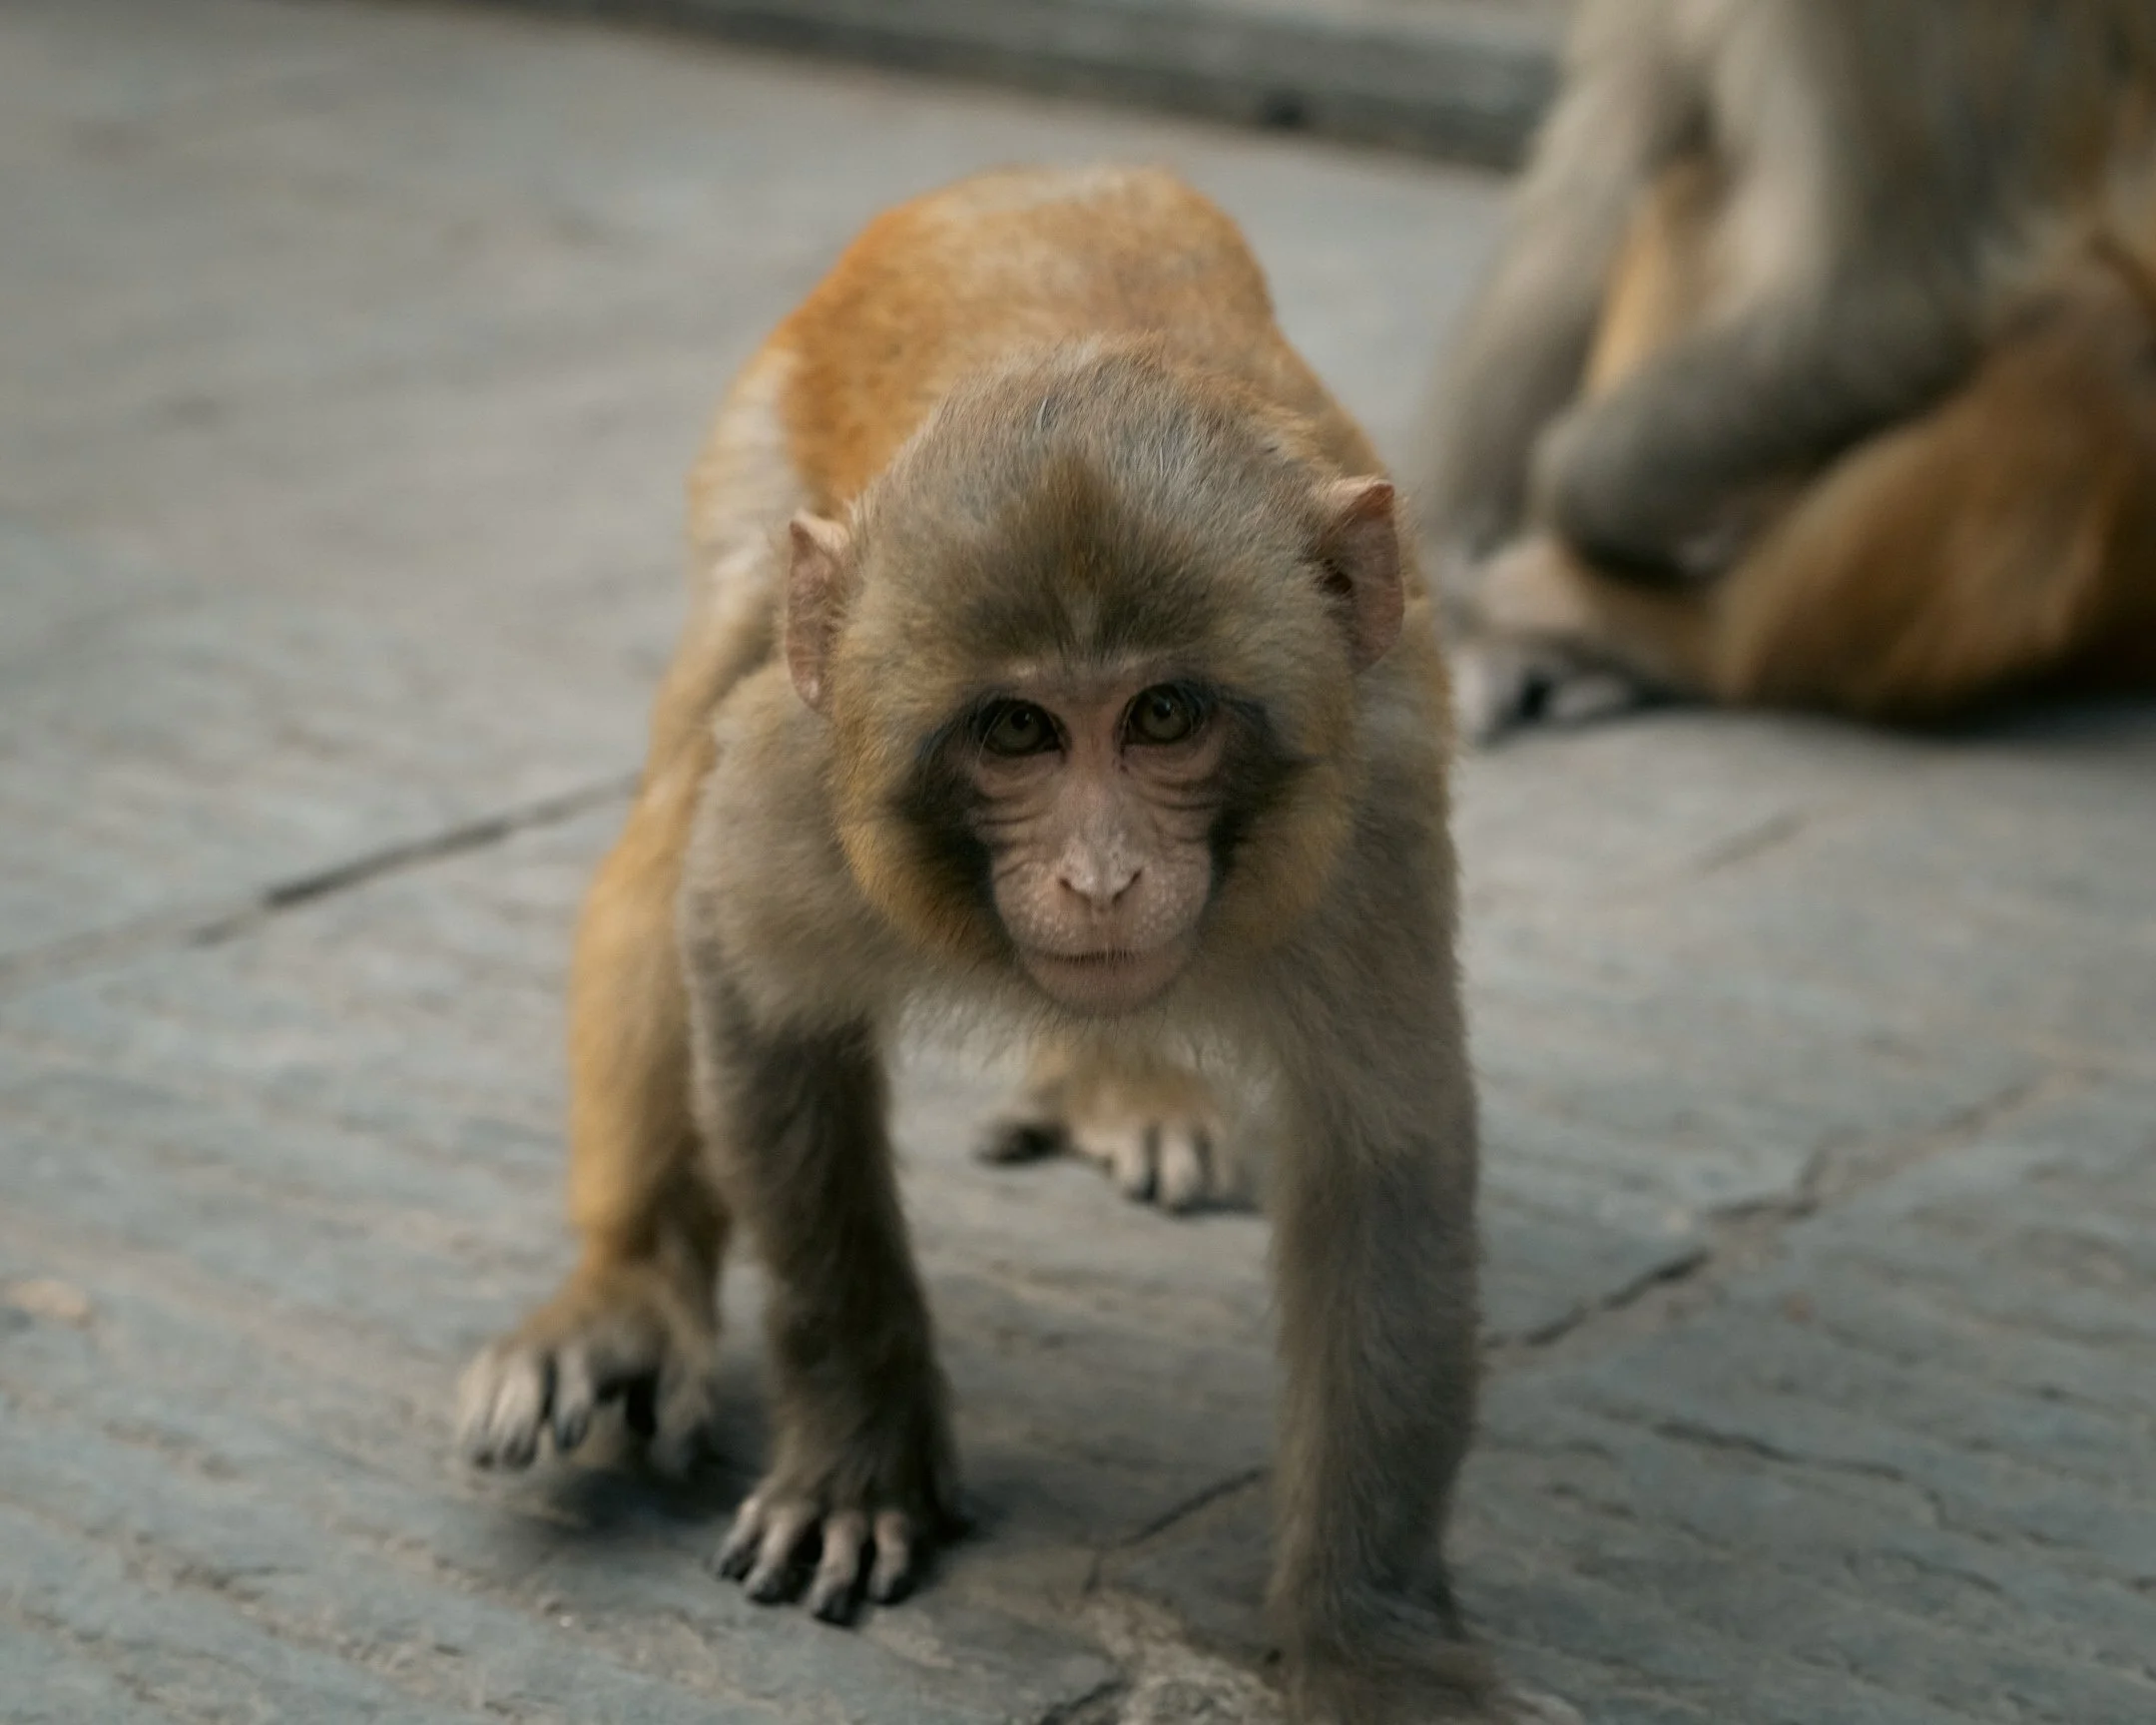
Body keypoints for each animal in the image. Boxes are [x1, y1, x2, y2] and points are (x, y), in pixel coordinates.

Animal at [456, 167, 1498, 1723]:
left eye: (1165, 717)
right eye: (1018, 730)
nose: (1101, 875)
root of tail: (1038, 179)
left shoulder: (1366, 825)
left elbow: (1384, 1165)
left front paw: (1370, 1646)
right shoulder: (806, 781)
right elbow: (751, 986)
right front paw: (856, 1463)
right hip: (758, 477)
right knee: (674, 793)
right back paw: (623, 1296)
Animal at [1414, 0, 2156, 733]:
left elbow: (1900, 292)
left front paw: (1581, 507)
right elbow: (1592, 186)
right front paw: (1437, 568)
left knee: (2095, 337)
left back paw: (1683, 637)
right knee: (1695, 164)